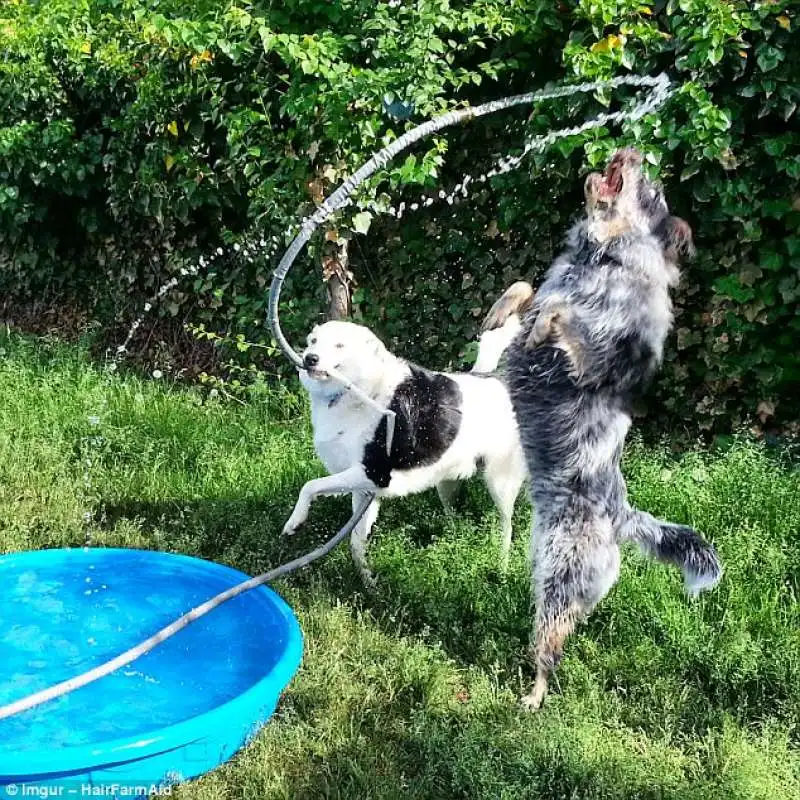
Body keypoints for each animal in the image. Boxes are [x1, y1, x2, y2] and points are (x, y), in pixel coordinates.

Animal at [282, 320, 524, 588]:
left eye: (339, 345)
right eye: (313, 341)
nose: (309, 358)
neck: (360, 391)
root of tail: (500, 380)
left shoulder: (375, 473)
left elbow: (310, 485)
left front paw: (295, 520)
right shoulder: (364, 491)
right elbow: (356, 542)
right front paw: (368, 583)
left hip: (501, 482)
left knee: (507, 526)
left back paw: (502, 568)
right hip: (445, 482)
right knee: (454, 514)